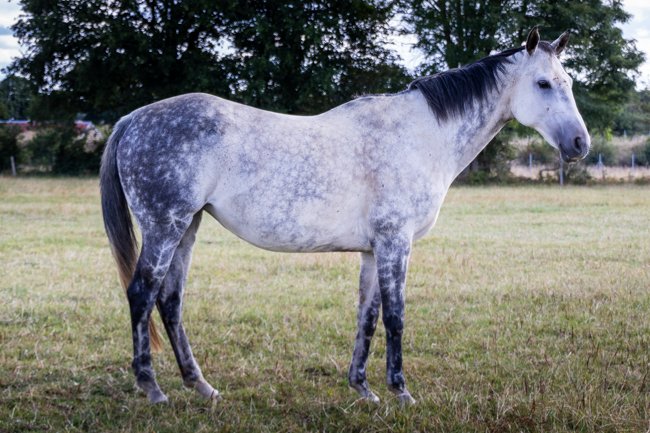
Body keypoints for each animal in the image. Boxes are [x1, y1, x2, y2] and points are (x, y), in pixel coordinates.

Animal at [100, 28, 590, 405]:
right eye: (543, 84)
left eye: (567, 81)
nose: (580, 144)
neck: (422, 135)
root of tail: (132, 120)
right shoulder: (395, 242)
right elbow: (395, 316)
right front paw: (401, 392)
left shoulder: (373, 250)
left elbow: (367, 316)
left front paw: (363, 390)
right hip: (165, 227)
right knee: (142, 294)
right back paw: (153, 389)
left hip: (187, 227)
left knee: (170, 299)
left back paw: (201, 386)